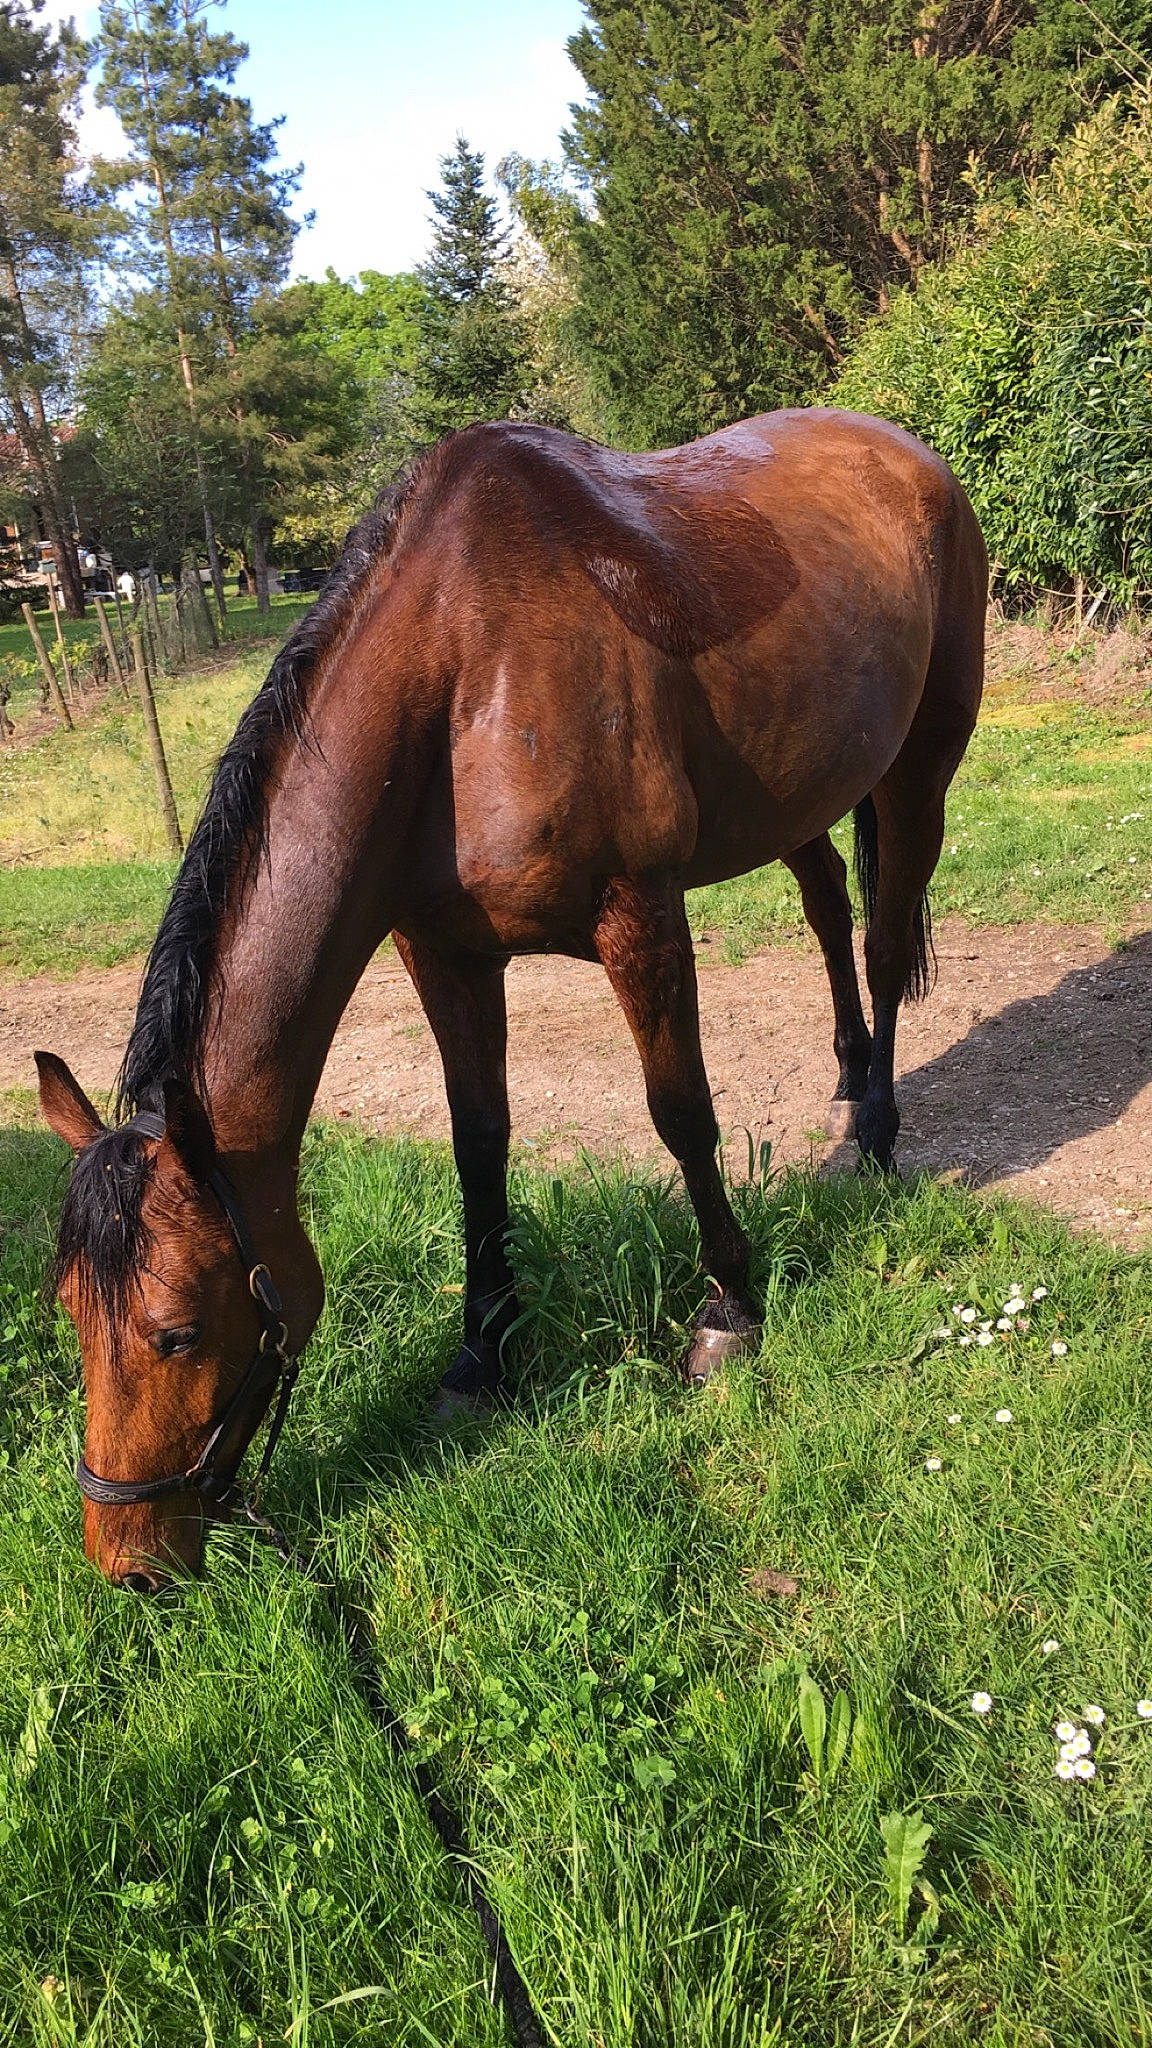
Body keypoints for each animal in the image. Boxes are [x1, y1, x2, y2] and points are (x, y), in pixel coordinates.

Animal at [37, 410, 987, 1589]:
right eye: (68, 1311)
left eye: (174, 1329)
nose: (125, 1557)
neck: (463, 676)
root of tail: (909, 454)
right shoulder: (442, 953)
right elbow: (477, 1140)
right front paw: (481, 1349)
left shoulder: (640, 919)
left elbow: (682, 1116)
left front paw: (729, 1306)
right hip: (799, 794)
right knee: (825, 905)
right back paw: (852, 1080)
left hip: (920, 767)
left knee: (889, 940)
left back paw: (881, 1130)